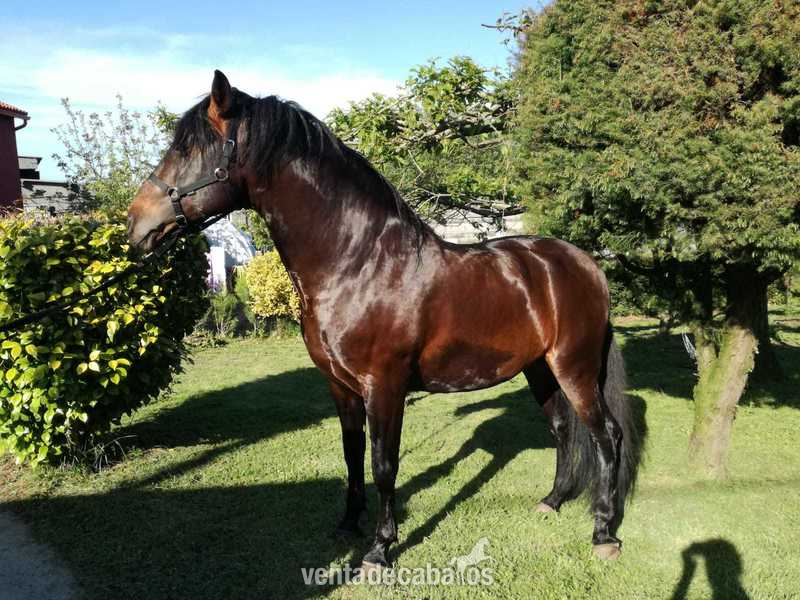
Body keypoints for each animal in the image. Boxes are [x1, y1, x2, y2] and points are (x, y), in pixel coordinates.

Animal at [127, 70, 642, 567]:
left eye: (189, 150)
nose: (135, 225)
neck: (359, 264)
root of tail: (586, 264)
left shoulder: (385, 387)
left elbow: (383, 465)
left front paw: (380, 547)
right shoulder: (341, 386)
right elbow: (352, 456)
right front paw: (347, 526)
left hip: (574, 368)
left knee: (606, 435)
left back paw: (604, 532)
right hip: (539, 368)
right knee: (562, 429)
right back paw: (552, 501)